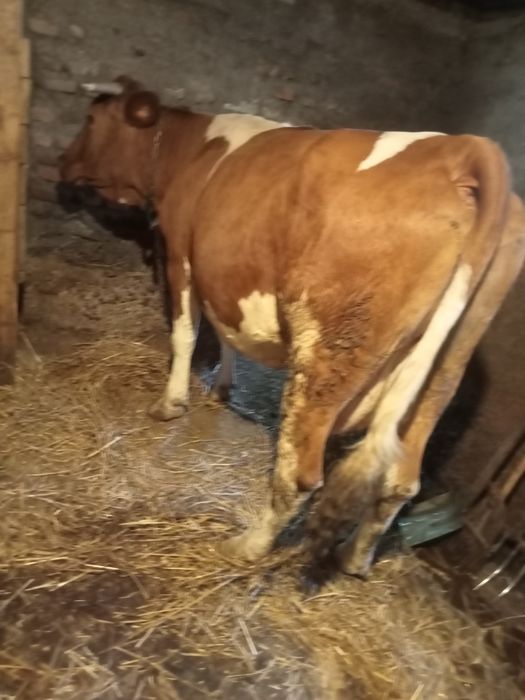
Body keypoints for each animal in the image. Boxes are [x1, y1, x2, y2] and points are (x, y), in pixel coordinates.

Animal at [59, 76, 525, 579]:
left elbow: (186, 334)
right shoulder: (221, 270)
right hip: (444, 368)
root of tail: (463, 149)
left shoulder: (181, 253)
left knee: (300, 473)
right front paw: (221, 388)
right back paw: (355, 559)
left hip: (329, 349)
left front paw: (171, 403)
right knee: (401, 482)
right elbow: (226, 332)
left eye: (91, 119)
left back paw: (248, 546)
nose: (63, 163)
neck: (190, 148)